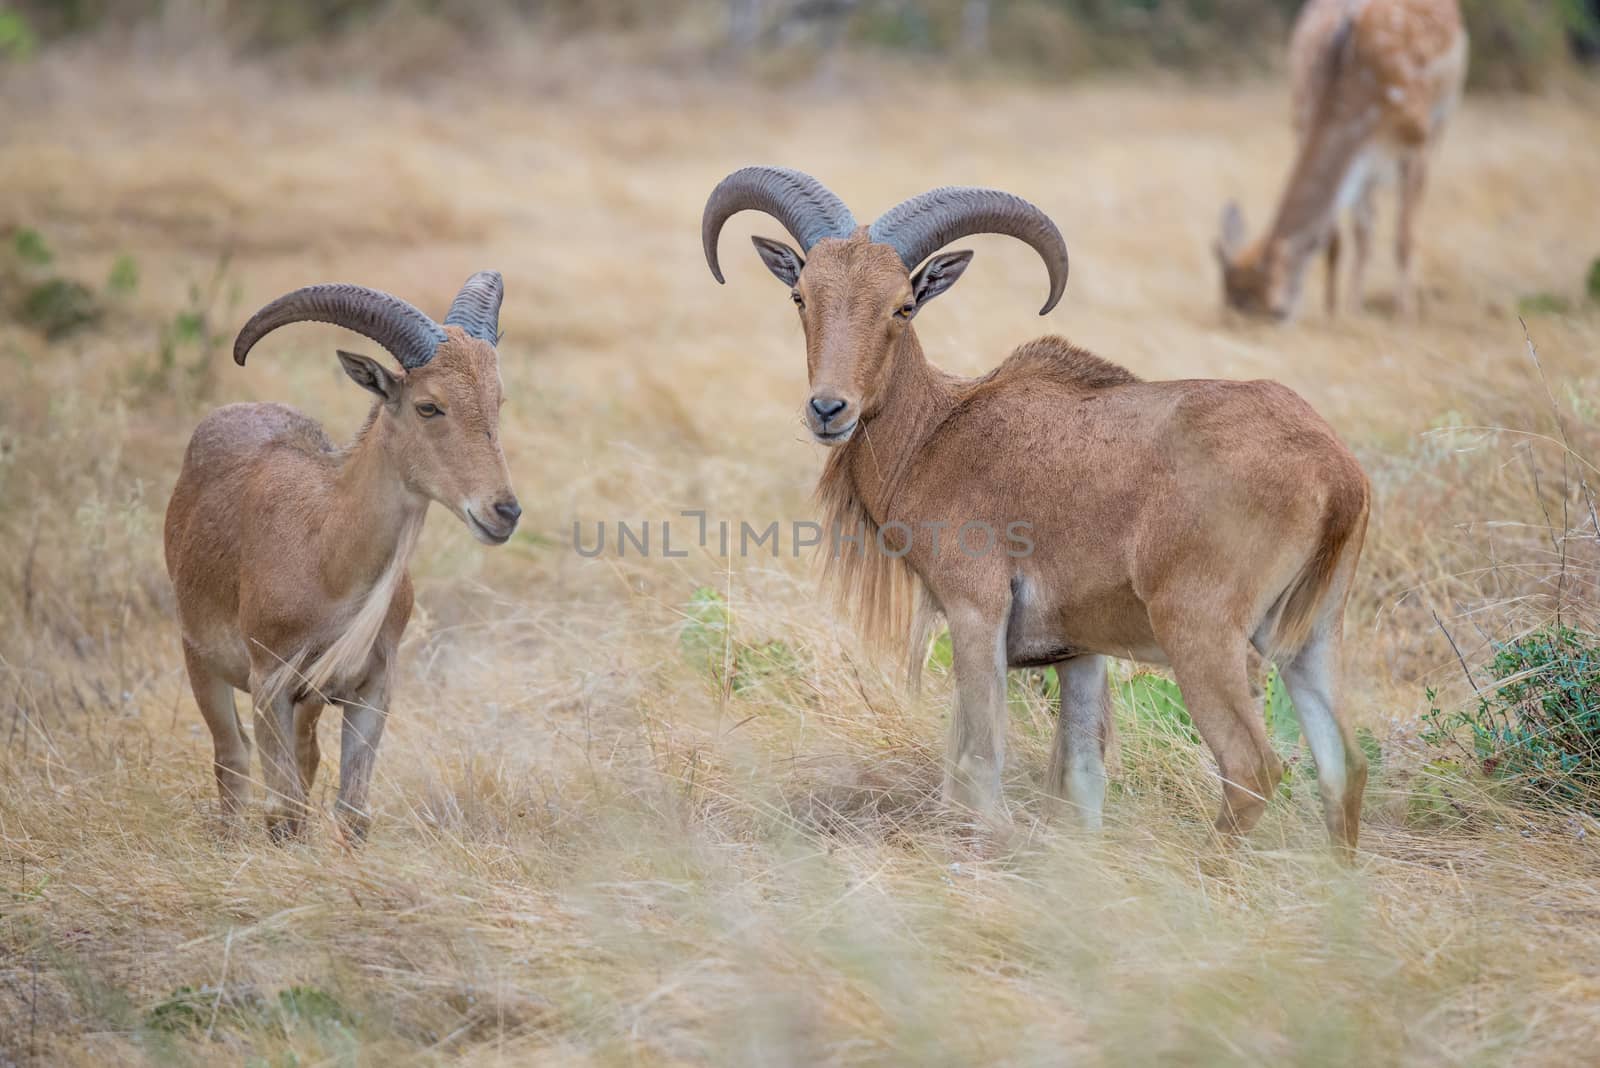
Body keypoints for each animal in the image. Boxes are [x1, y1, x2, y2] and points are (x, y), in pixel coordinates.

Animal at [166, 271, 521, 837]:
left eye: (498, 401)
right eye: (429, 405)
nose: (503, 511)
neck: (327, 554)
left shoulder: (370, 686)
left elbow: (352, 811)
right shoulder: (269, 681)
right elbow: (286, 810)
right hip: (199, 659)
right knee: (231, 757)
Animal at [707, 167, 1369, 856]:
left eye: (902, 305)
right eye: (801, 296)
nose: (828, 409)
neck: (936, 432)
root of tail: (1338, 474)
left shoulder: (976, 611)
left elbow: (978, 763)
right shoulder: (1079, 653)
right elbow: (1081, 777)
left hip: (1202, 632)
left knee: (1251, 768)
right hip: (1314, 637)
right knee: (1343, 767)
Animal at [1216, 0, 1465, 319]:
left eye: (1274, 312)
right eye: (1227, 303)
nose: (1287, 315)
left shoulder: (1415, 137)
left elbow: (1404, 238)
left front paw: (1405, 316)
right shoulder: (1313, 129)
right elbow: (1345, 237)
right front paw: (1340, 311)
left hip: (1442, 117)